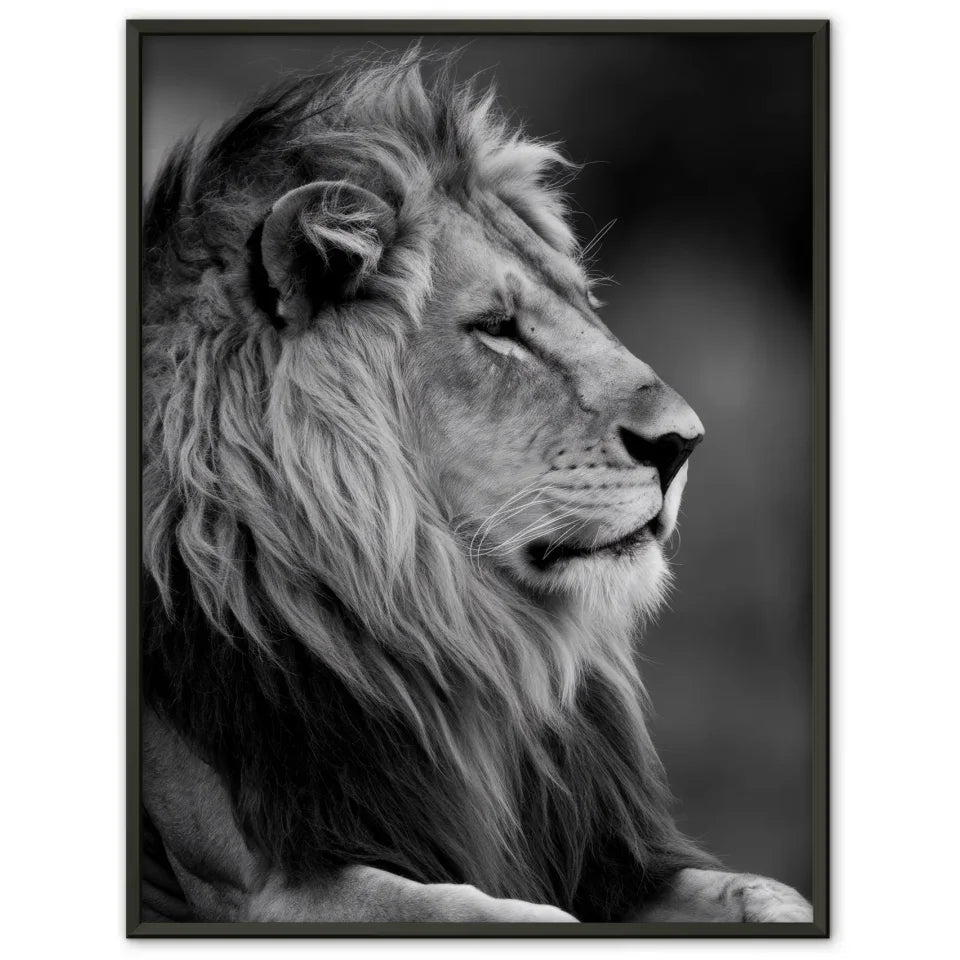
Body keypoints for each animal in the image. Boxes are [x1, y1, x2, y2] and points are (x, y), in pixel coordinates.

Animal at [140, 49, 813, 925]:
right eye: (497, 328)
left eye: (582, 304)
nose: (681, 444)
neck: (454, 629)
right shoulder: (268, 887)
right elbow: (497, 915)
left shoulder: (606, 857)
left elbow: (770, 894)